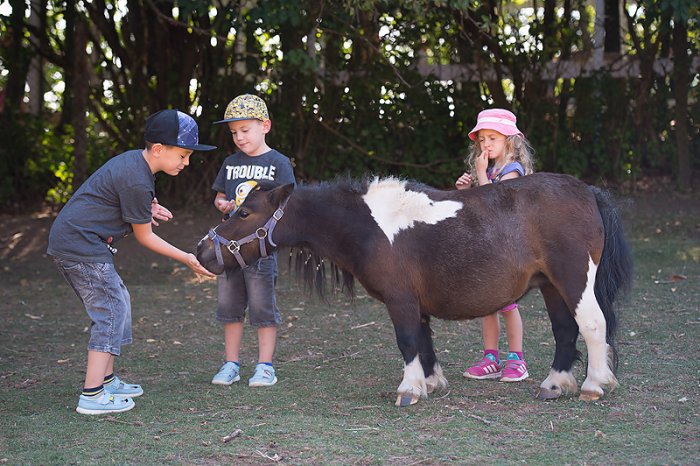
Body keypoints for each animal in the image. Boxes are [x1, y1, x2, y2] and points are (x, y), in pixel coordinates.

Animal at [194, 173, 632, 406]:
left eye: (244, 212)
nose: (202, 251)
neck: (369, 226)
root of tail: (586, 190)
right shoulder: (416, 302)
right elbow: (423, 341)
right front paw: (431, 381)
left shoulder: (400, 299)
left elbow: (407, 340)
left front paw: (410, 389)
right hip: (552, 286)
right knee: (565, 330)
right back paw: (556, 383)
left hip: (573, 279)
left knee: (592, 325)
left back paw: (594, 384)